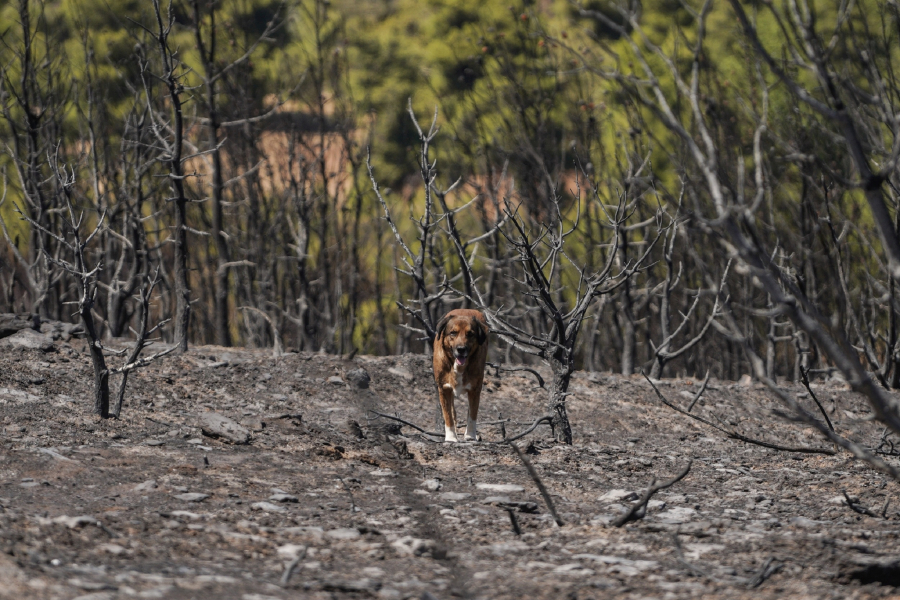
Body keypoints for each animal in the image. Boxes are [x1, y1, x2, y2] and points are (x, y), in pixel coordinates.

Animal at [432, 310, 488, 440]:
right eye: (453, 333)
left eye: (470, 334)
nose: (461, 349)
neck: (458, 367)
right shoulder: (444, 388)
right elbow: (448, 415)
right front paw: (451, 438)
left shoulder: (475, 390)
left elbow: (472, 415)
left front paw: (470, 436)